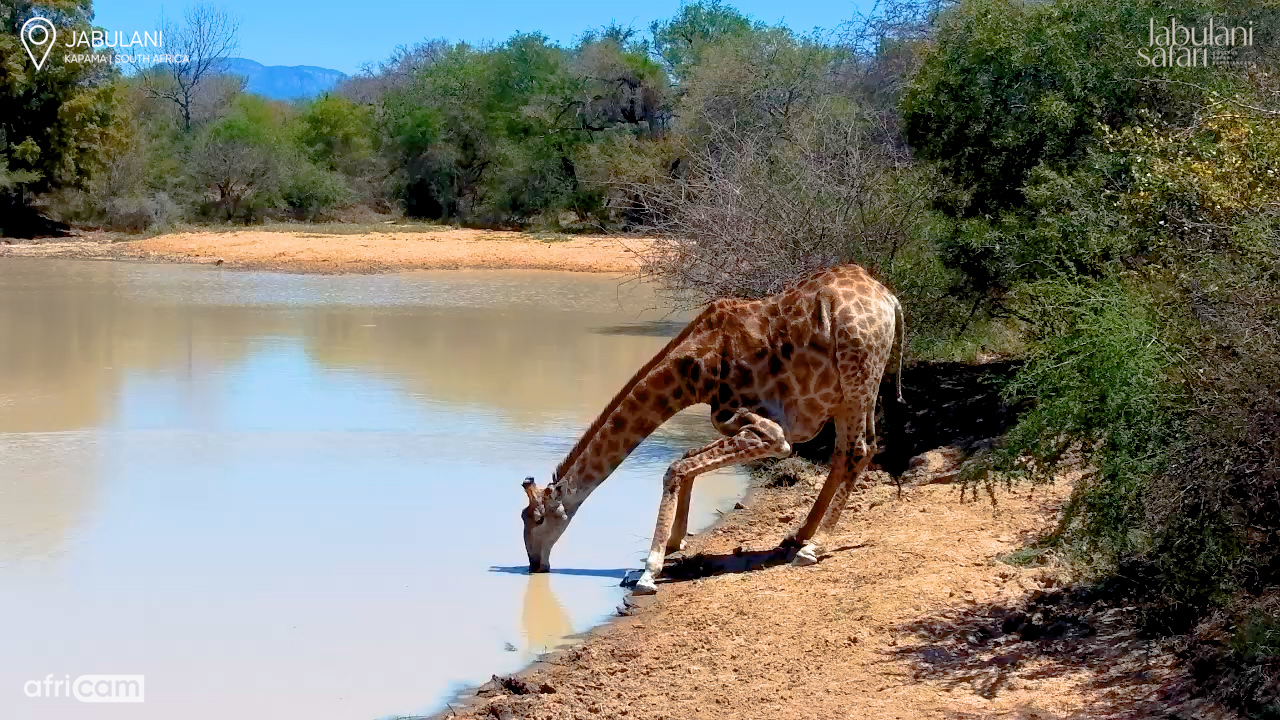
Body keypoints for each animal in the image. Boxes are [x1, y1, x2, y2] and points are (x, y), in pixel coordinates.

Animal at [521, 264, 904, 595]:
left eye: (536, 519)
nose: (534, 565)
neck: (692, 374)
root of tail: (890, 300)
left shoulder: (771, 434)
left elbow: (675, 468)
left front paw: (649, 572)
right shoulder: (747, 427)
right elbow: (686, 460)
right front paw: (673, 544)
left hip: (858, 374)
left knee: (858, 450)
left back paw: (812, 549)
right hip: (853, 391)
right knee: (851, 451)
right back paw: (797, 537)